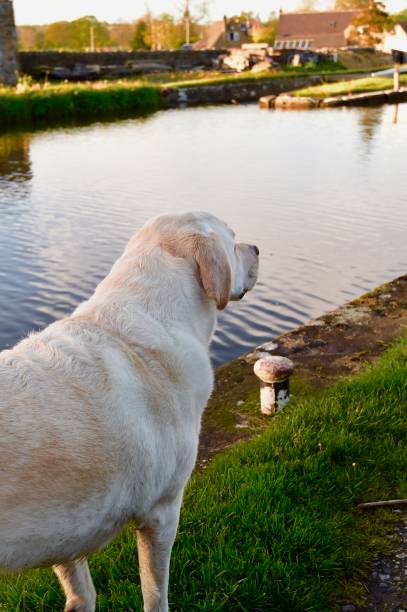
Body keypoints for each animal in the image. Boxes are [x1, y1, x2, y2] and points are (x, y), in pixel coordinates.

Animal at [0, 212, 260, 612]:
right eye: (232, 240)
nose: (257, 248)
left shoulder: (66, 530)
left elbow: (82, 593)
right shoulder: (162, 513)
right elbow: (155, 593)